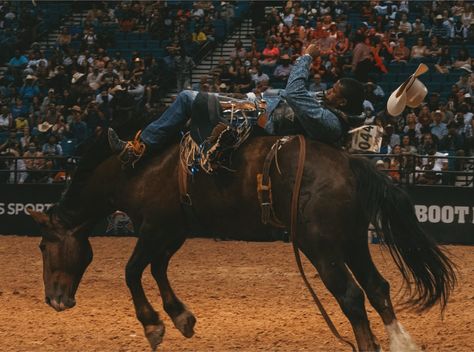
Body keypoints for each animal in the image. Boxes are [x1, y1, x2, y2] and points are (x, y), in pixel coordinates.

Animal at [28, 92, 456, 350]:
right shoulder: (174, 231)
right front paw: (181, 317)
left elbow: (133, 270)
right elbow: (158, 268)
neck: (135, 167)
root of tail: (349, 162)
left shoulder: (153, 227)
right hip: (351, 241)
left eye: (44, 246)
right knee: (377, 288)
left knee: (351, 296)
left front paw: (153, 325)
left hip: (321, 247)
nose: (54, 299)